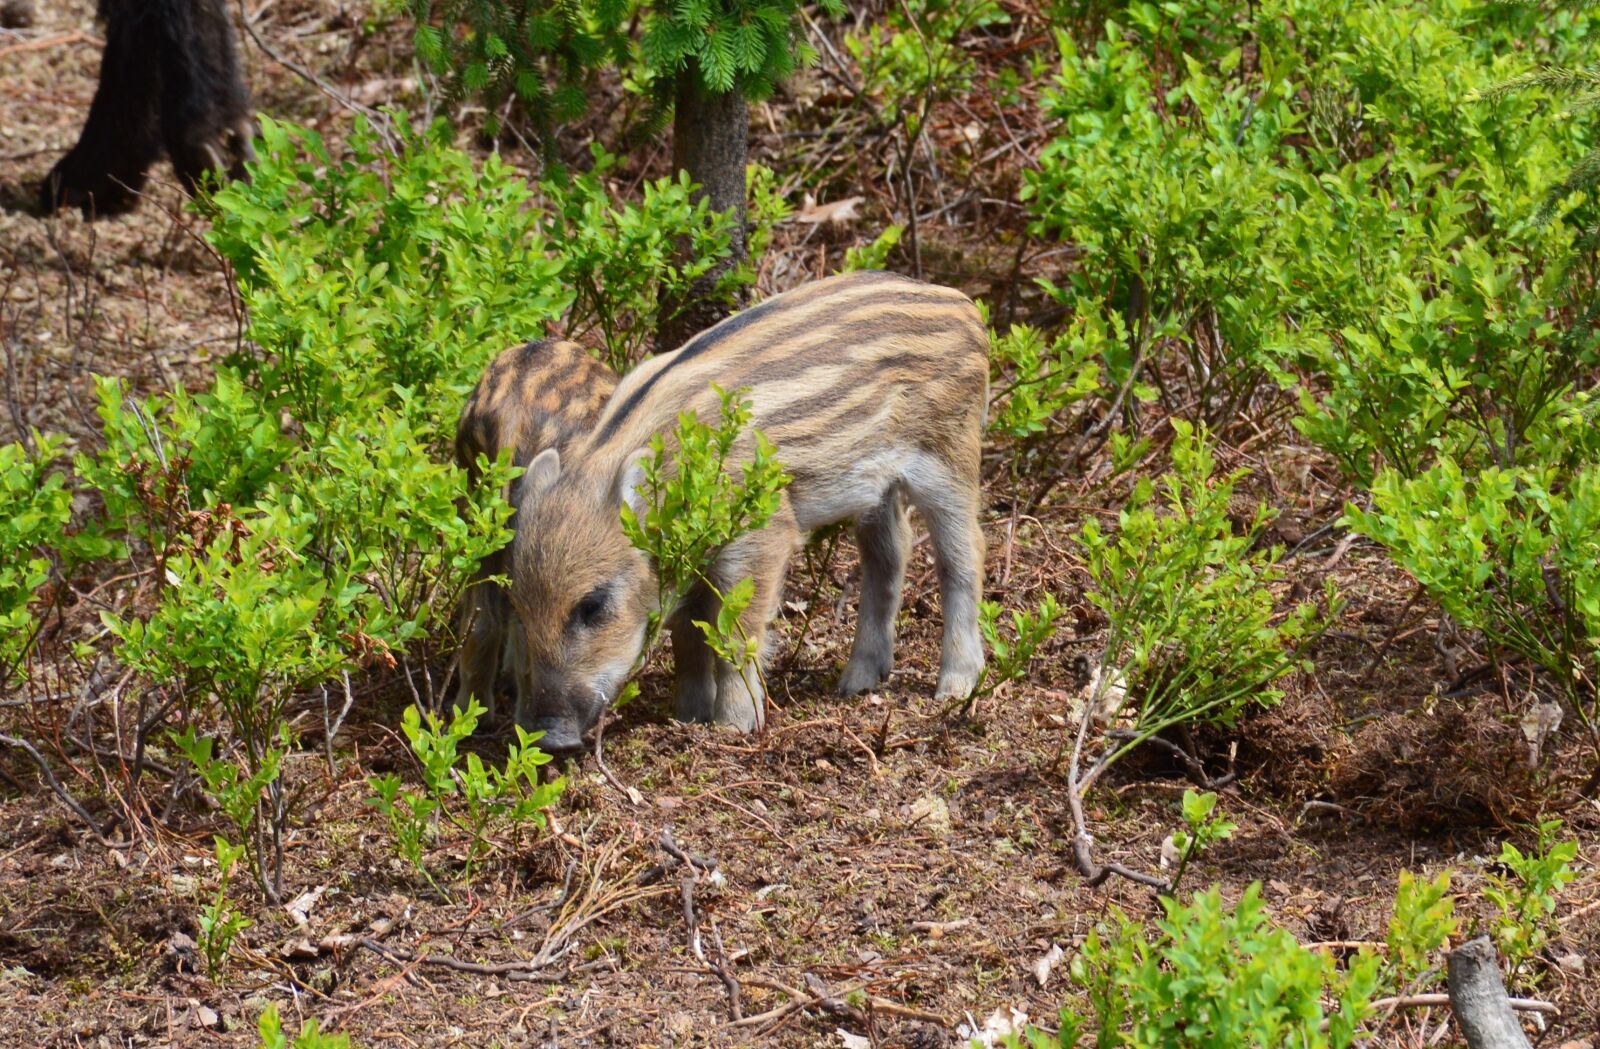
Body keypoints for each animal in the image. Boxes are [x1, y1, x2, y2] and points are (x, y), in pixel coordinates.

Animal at [507, 271, 989, 750]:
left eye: (592, 605)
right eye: (520, 608)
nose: (551, 739)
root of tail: (963, 304)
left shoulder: (763, 535)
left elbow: (734, 633)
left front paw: (733, 727)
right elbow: (688, 635)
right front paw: (687, 717)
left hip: (949, 455)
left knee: (963, 556)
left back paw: (955, 686)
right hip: (876, 487)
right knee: (889, 555)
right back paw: (856, 683)